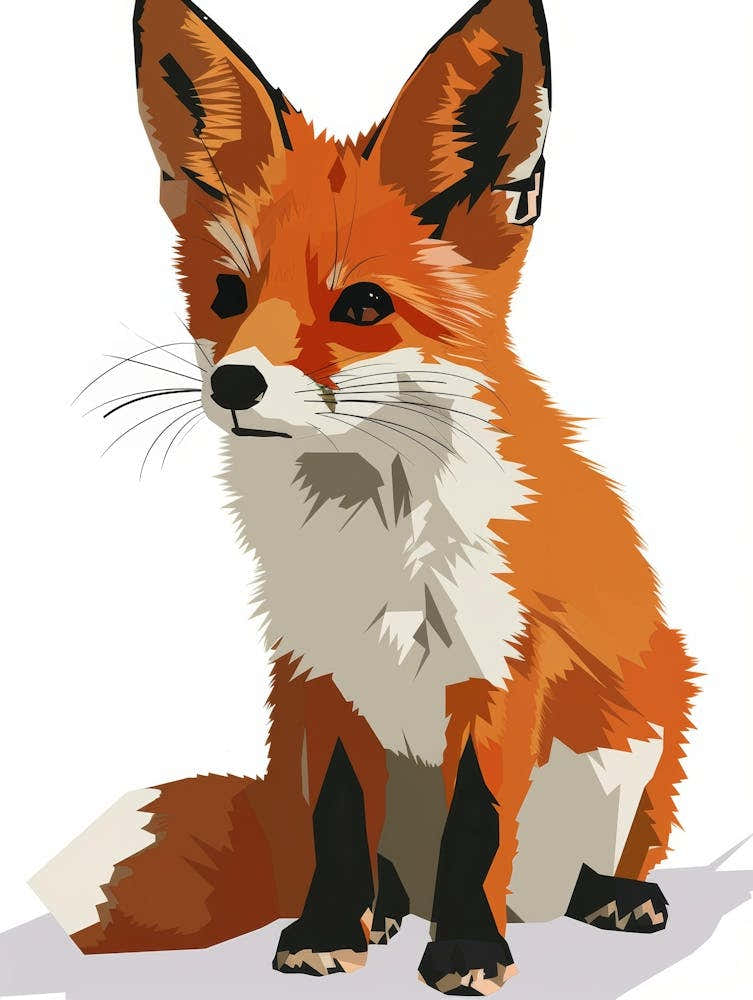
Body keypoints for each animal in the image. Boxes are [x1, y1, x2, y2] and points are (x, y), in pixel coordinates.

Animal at [29, 0, 697, 994]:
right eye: (227, 293)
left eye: (364, 305)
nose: (232, 384)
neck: (373, 538)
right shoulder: (318, 672)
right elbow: (339, 818)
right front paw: (328, 930)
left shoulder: (499, 668)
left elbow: (477, 826)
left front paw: (467, 950)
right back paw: (383, 910)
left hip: (655, 721)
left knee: (596, 857)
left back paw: (608, 896)